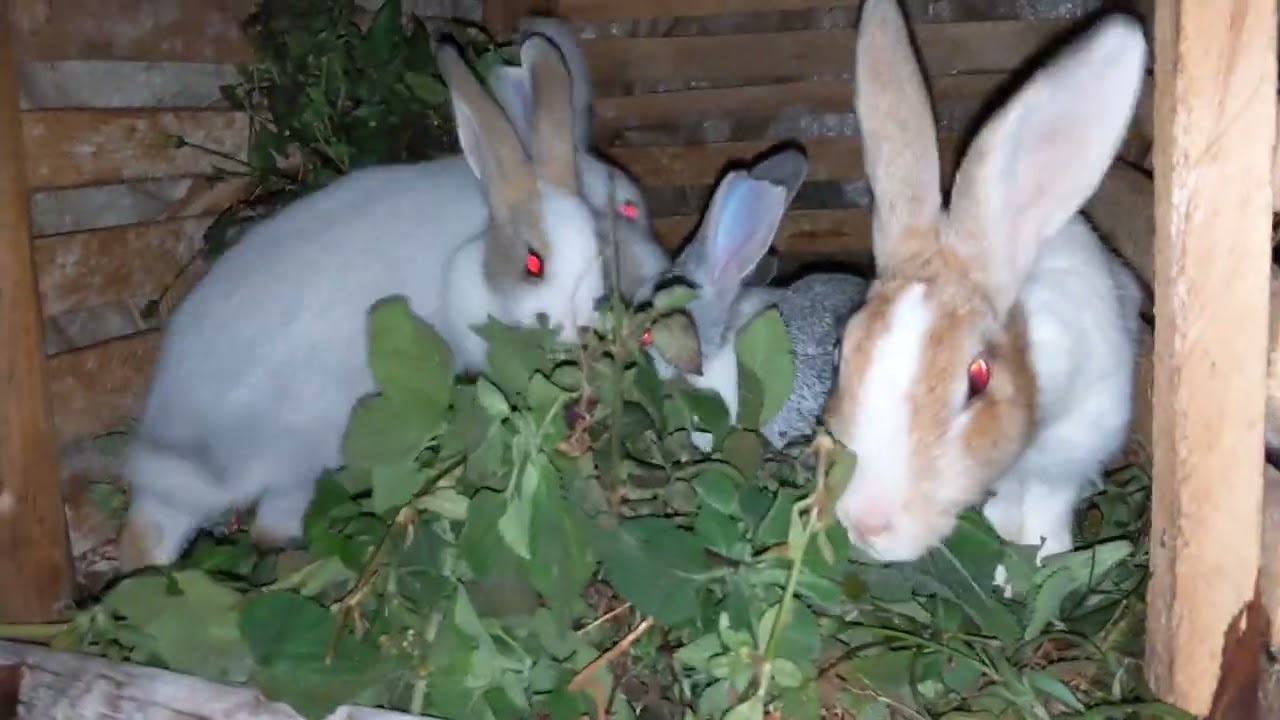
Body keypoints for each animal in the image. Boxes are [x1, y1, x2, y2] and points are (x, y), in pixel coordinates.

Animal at [825, 0, 1147, 575]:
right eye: (843, 350)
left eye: (977, 377)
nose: (866, 524)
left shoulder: (1076, 442)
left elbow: (1046, 509)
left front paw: (1035, 562)